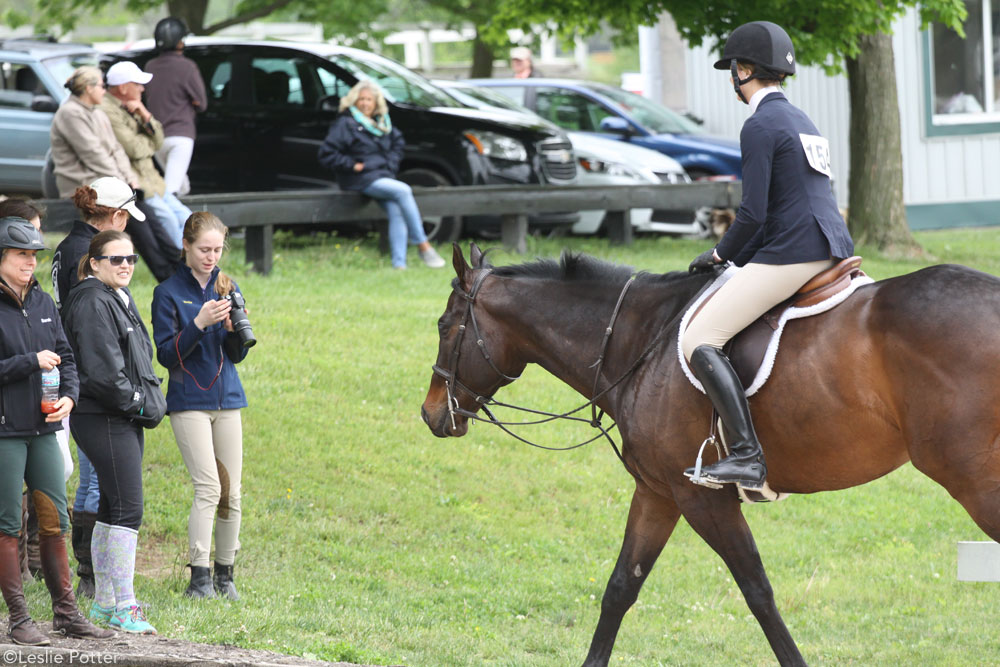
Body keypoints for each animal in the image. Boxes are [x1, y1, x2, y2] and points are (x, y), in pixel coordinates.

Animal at [424, 243, 1000, 664]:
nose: (431, 415)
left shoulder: (702, 498)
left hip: (975, 482)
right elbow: (620, 587)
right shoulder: (657, 492)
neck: (639, 339)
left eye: (445, 327)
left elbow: (758, 591)